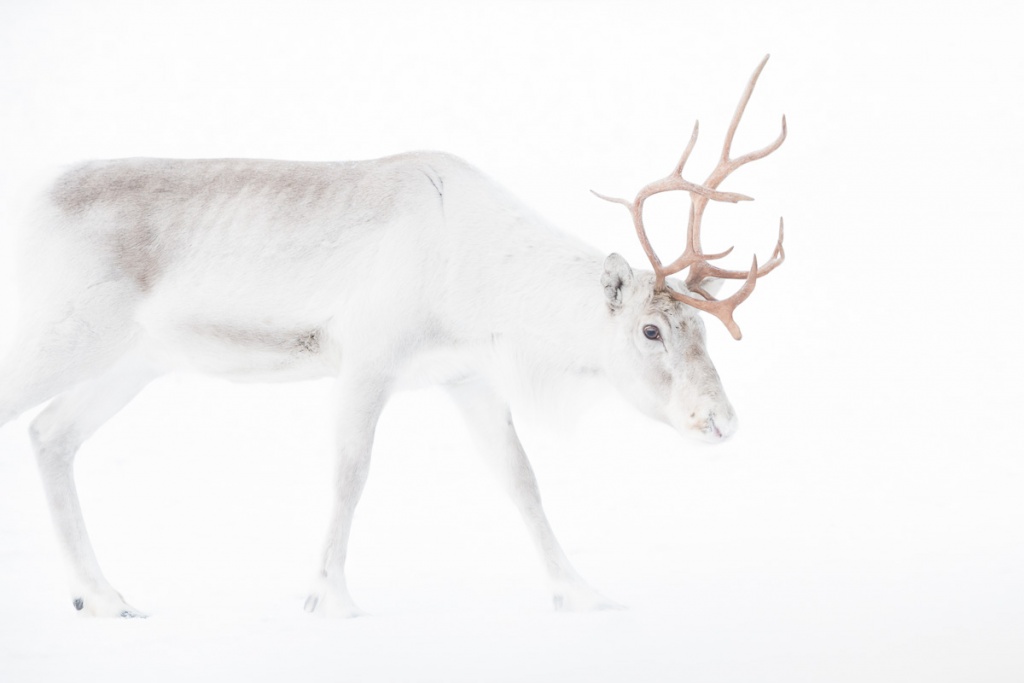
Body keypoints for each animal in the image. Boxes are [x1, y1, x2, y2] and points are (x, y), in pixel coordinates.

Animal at [0, 56, 785, 618]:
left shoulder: (466, 375)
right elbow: (351, 473)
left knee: (50, 435)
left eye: (703, 329)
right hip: (69, 330)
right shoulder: (368, 357)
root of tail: (31, 199)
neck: (481, 288)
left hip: (133, 361)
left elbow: (521, 480)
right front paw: (330, 597)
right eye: (651, 328)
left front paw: (585, 592)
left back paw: (104, 596)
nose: (721, 420)